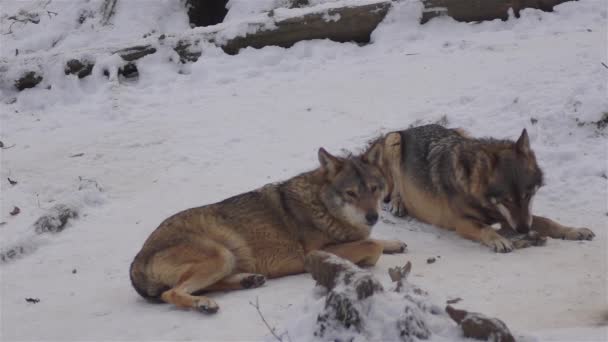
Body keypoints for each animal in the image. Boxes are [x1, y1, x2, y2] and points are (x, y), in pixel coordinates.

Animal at [129, 146, 404, 314]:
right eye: (351, 193)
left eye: (374, 188)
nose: (372, 216)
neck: (322, 205)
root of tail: (137, 260)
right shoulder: (313, 254)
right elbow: (373, 245)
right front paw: (370, 256)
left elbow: (377, 240)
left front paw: (395, 243)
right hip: (221, 255)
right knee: (172, 293)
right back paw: (203, 304)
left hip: (225, 260)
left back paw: (248, 281)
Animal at [372, 124, 596, 252]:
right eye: (507, 200)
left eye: (527, 195)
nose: (524, 230)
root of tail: (414, 127)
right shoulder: (462, 222)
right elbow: (485, 228)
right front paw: (499, 240)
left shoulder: (513, 218)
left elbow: (548, 222)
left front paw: (574, 231)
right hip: (394, 140)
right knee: (391, 192)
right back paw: (398, 204)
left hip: (462, 131)